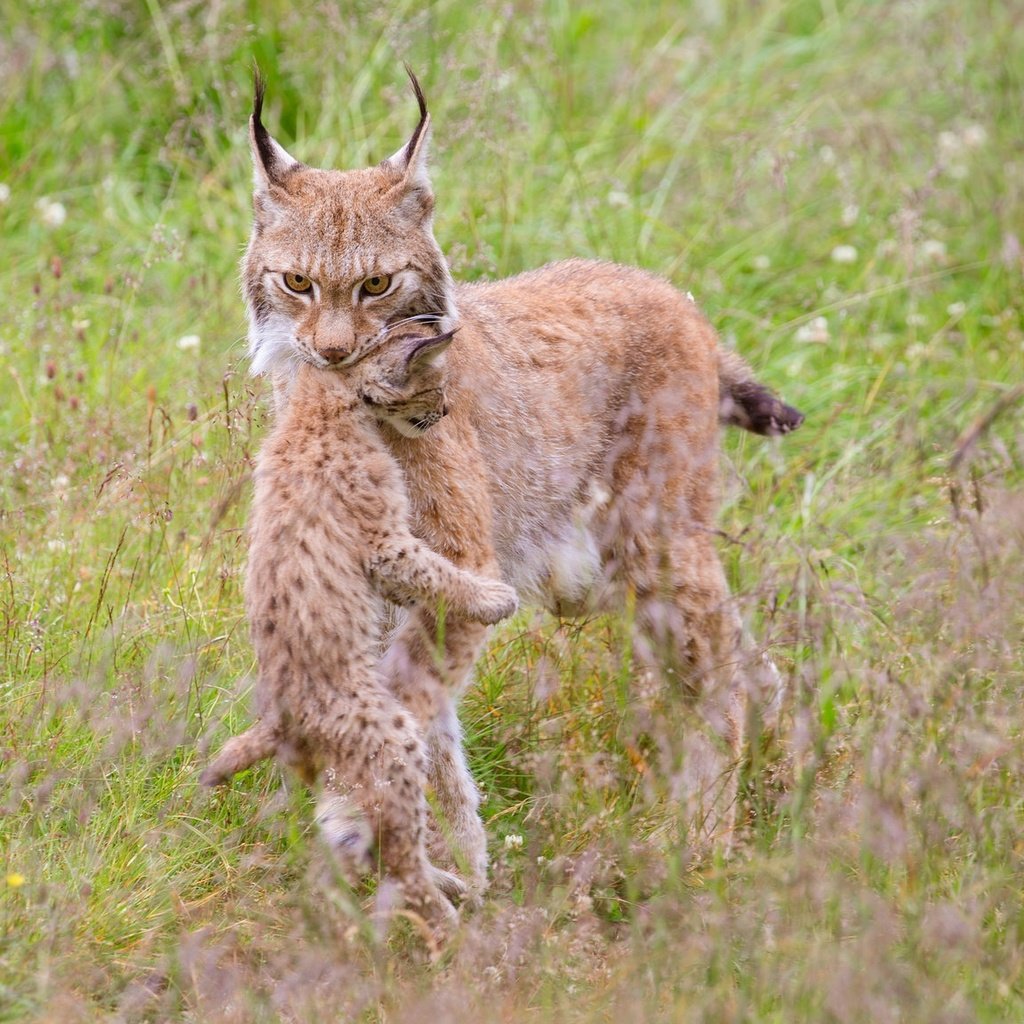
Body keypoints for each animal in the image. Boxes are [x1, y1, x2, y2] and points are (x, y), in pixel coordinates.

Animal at [201, 331, 520, 937]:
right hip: (394, 740)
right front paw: (493, 598)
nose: (445, 413)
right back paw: (449, 920)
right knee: (399, 855)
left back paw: (450, 888)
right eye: (435, 387)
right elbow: (434, 572)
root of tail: (279, 718)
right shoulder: (383, 543)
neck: (320, 402)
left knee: (375, 843)